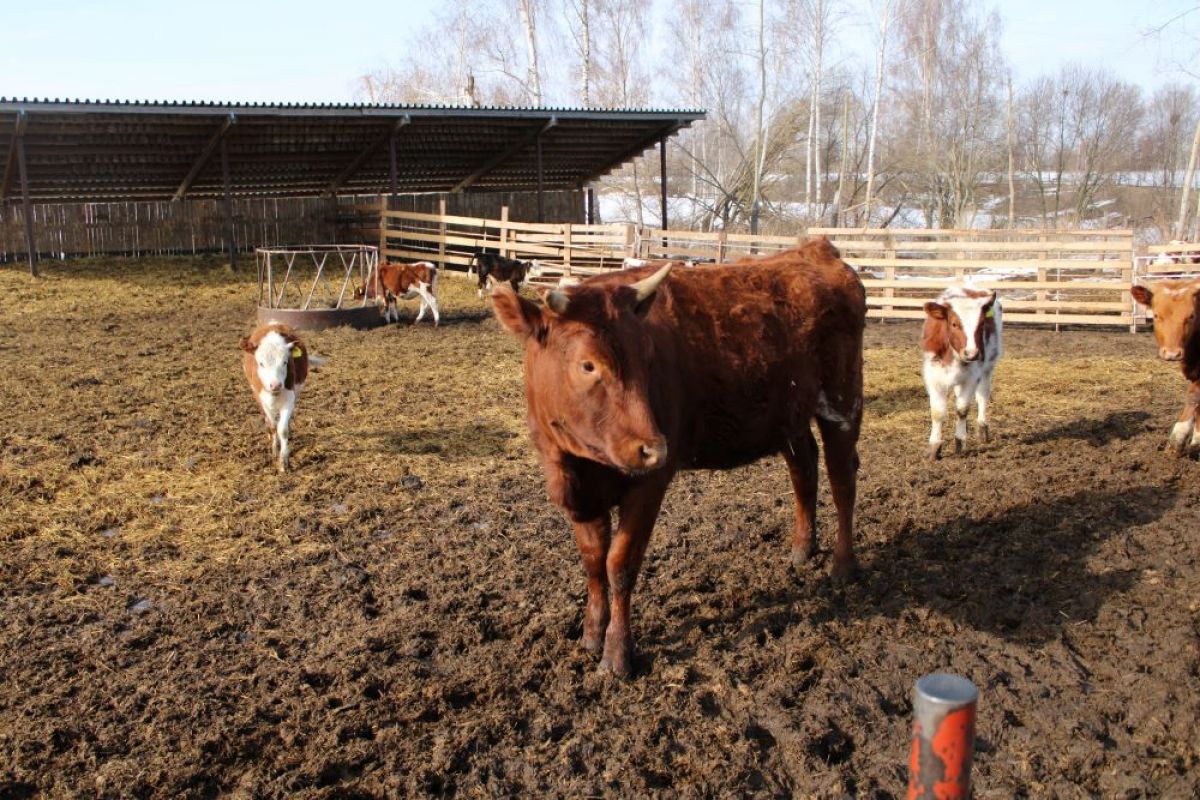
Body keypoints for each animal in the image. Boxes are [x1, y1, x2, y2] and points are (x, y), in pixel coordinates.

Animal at [492, 237, 868, 676]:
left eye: (647, 358)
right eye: (587, 364)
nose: (654, 448)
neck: (578, 466)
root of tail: (815, 249)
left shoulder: (649, 484)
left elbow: (620, 564)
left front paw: (617, 654)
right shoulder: (581, 493)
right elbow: (593, 561)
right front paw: (591, 634)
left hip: (843, 400)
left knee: (842, 479)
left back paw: (843, 566)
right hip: (787, 413)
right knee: (804, 468)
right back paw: (802, 549)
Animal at [916, 283, 1003, 460]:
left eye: (982, 324)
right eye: (954, 324)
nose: (972, 354)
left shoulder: (972, 377)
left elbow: (962, 409)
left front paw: (960, 441)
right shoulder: (933, 377)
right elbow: (937, 412)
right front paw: (934, 446)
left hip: (988, 367)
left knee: (982, 396)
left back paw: (982, 427)